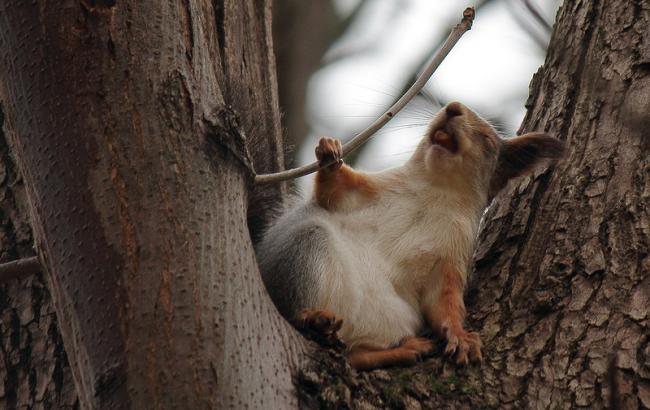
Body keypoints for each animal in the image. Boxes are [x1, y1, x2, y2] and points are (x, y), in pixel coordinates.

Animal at [256, 101, 560, 370]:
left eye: (486, 137)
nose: (452, 107)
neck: (437, 190)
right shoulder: (375, 187)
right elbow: (333, 192)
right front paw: (330, 154)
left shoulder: (453, 253)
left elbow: (443, 301)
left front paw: (460, 336)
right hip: (306, 252)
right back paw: (314, 317)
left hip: (393, 319)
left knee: (354, 356)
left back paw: (401, 350)